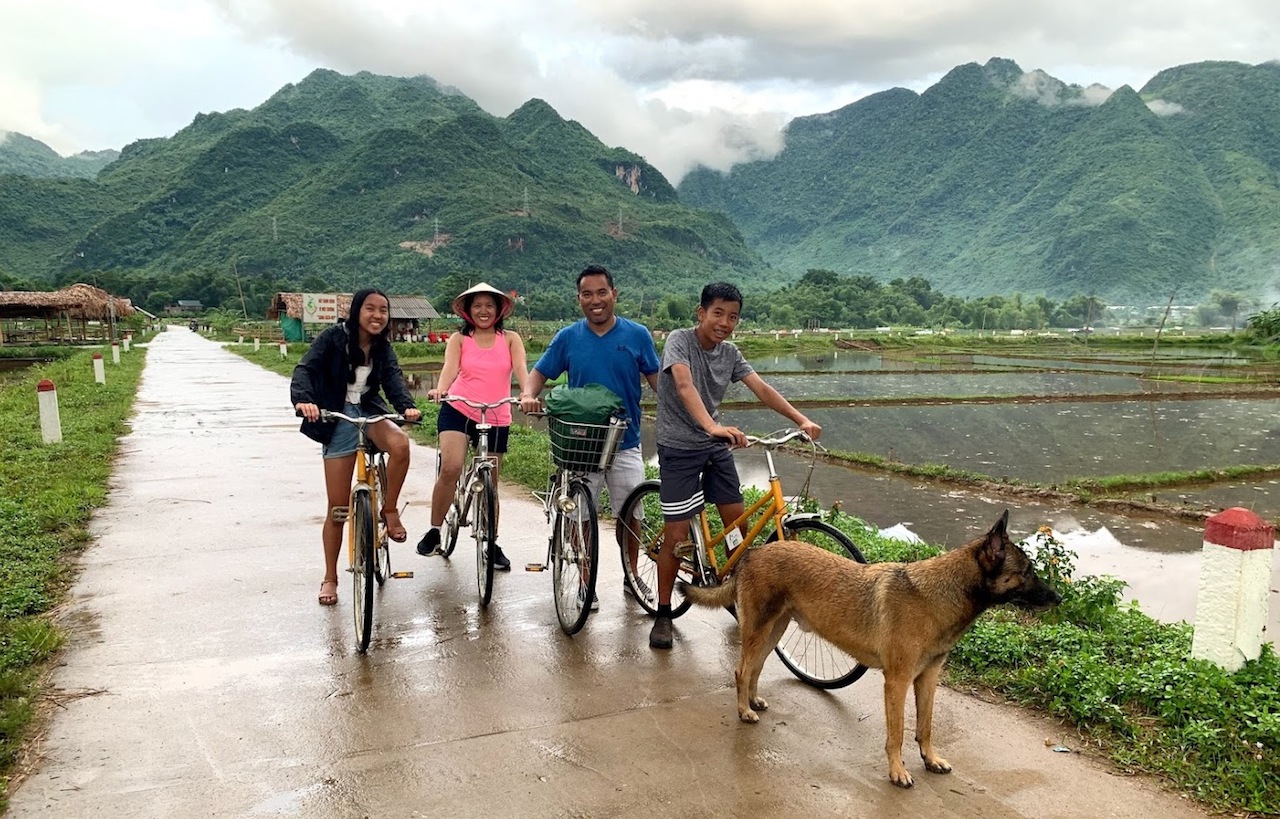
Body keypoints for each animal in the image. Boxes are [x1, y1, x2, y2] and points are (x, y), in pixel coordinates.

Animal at [680, 511, 1059, 788]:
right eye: (1026, 571)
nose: (1058, 599)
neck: (941, 594)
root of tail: (754, 552)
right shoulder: (898, 682)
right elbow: (898, 733)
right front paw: (897, 771)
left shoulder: (927, 679)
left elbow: (926, 726)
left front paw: (930, 758)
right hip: (761, 630)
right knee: (742, 669)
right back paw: (743, 710)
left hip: (775, 631)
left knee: (755, 667)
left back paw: (753, 700)